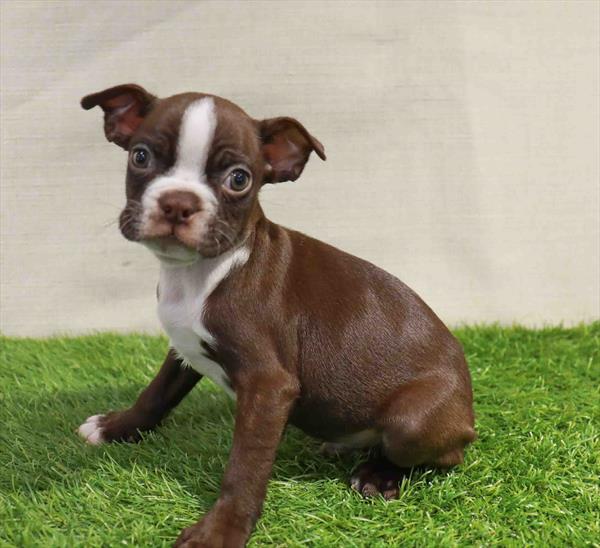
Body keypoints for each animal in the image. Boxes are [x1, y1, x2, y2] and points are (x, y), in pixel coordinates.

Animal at [78, 84, 474, 548]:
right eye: (140, 157)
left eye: (239, 179)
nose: (178, 203)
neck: (199, 273)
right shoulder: (183, 347)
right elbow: (156, 393)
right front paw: (116, 427)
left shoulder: (269, 385)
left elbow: (244, 466)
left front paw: (222, 530)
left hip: (414, 422)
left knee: (442, 453)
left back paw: (379, 474)